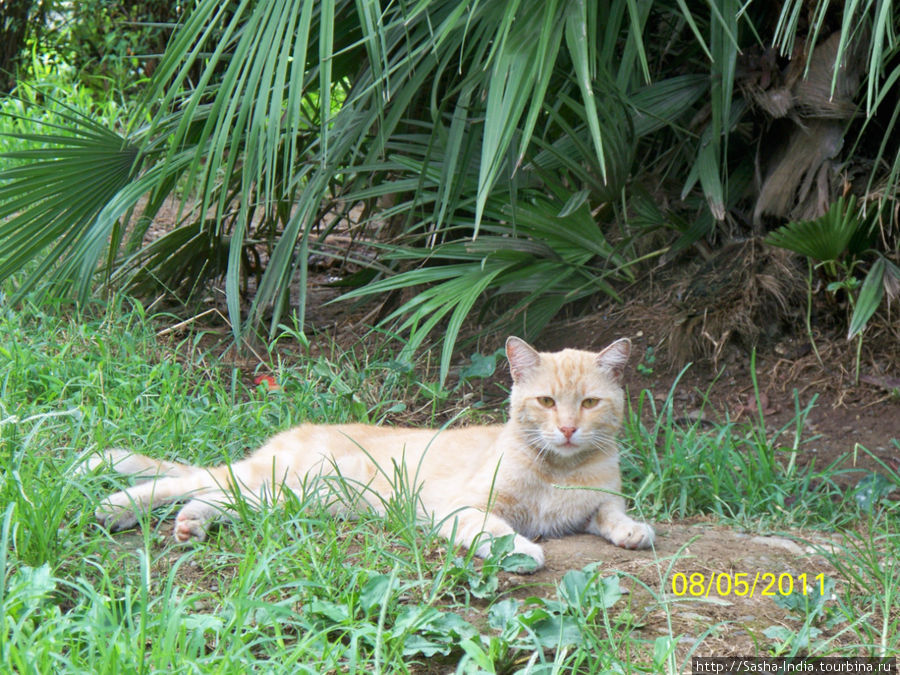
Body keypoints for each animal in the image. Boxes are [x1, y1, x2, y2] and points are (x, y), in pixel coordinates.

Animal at [88, 338, 652, 572]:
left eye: (589, 403)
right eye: (547, 402)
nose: (568, 429)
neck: (559, 470)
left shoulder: (599, 500)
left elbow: (611, 511)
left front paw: (632, 531)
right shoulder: (461, 507)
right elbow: (495, 530)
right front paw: (522, 550)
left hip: (283, 498)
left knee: (210, 498)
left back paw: (190, 525)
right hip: (271, 479)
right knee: (181, 481)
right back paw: (115, 505)